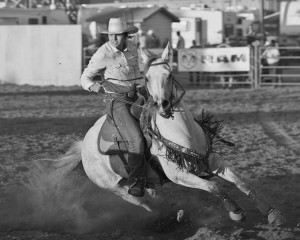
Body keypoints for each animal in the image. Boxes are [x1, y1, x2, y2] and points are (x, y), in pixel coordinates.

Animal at [45, 43, 286, 227]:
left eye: (169, 74)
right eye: (147, 78)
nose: (163, 105)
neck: (183, 132)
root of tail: (84, 145)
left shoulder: (211, 159)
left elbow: (240, 182)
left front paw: (271, 212)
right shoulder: (178, 174)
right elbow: (214, 186)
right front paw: (236, 212)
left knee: (152, 194)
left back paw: (176, 213)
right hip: (114, 188)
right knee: (144, 204)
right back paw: (167, 216)